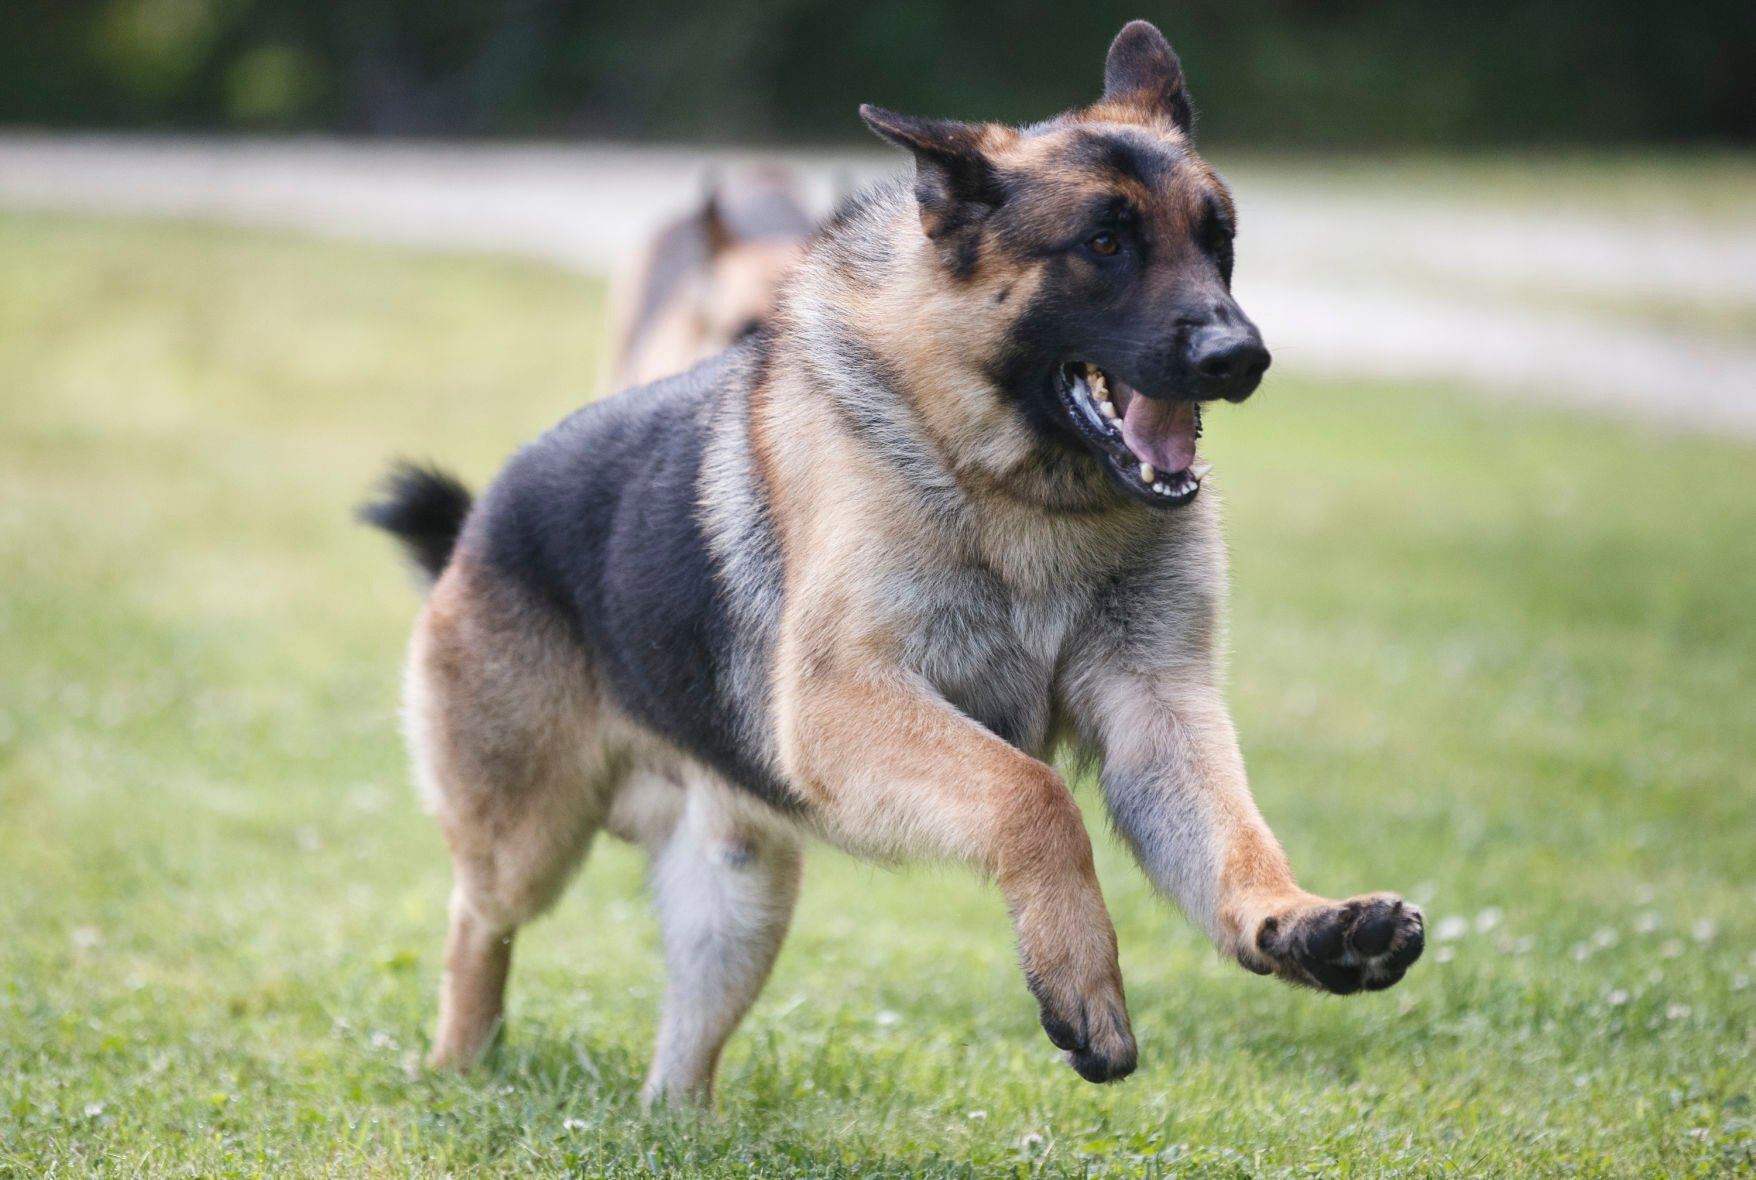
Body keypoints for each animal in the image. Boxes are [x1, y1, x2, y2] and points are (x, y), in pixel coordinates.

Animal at [363, 20, 1418, 1109]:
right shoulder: (848, 706)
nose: (1238, 357)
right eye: (1105, 244)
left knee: (677, 1065)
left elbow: (1232, 838)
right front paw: (1082, 982)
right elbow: (1033, 797)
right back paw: (462, 1062)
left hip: (739, 891)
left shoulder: (1156, 708)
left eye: (1220, 242)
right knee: (476, 920)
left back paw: (676, 1122)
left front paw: (1298, 922)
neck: (1019, 492)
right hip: (527, 837)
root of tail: (483, 517)